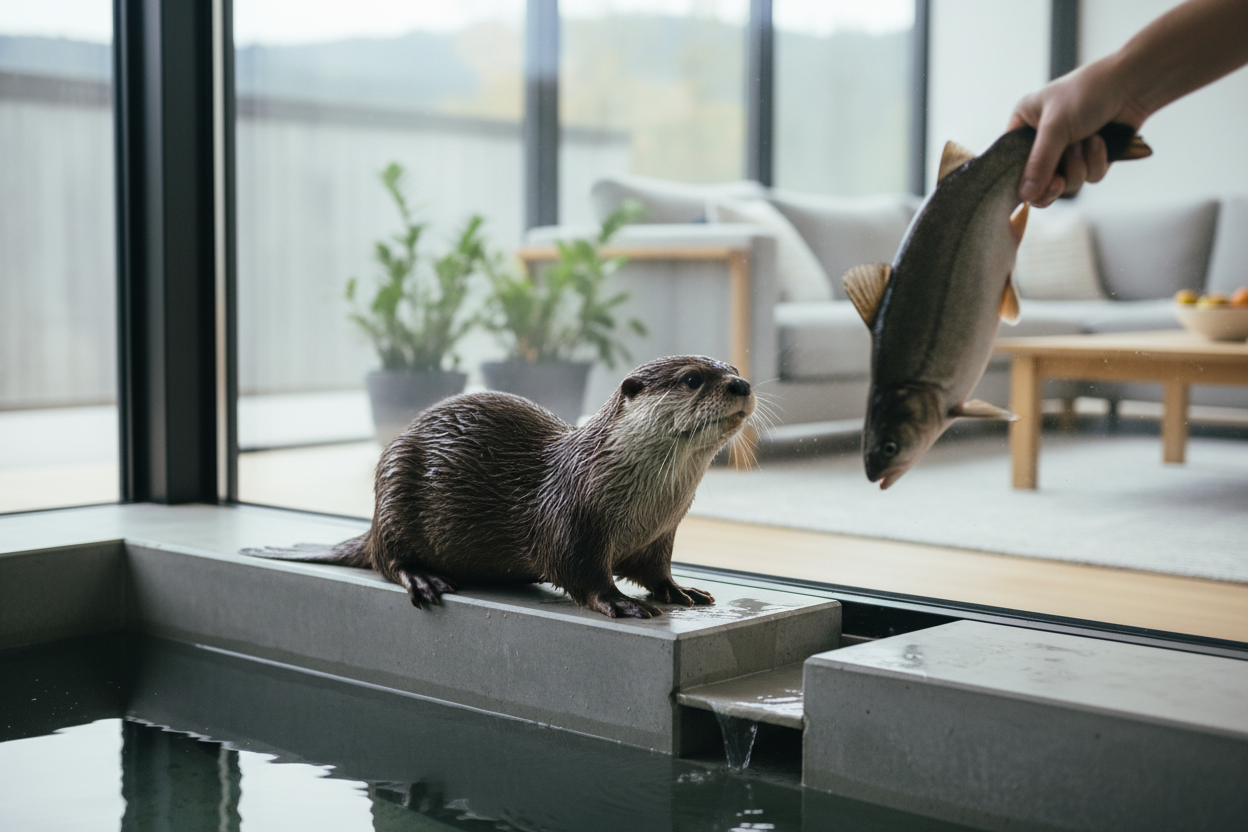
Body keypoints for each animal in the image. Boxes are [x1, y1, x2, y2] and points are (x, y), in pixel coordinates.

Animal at [243, 355, 755, 619]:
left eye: (731, 367)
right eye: (693, 379)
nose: (742, 384)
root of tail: (371, 523)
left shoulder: (660, 535)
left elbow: (657, 570)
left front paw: (680, 591)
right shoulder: (571, 521)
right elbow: (581, 573)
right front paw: (621, 603)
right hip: (394, 493)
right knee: (387, 560)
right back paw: (424, 579)